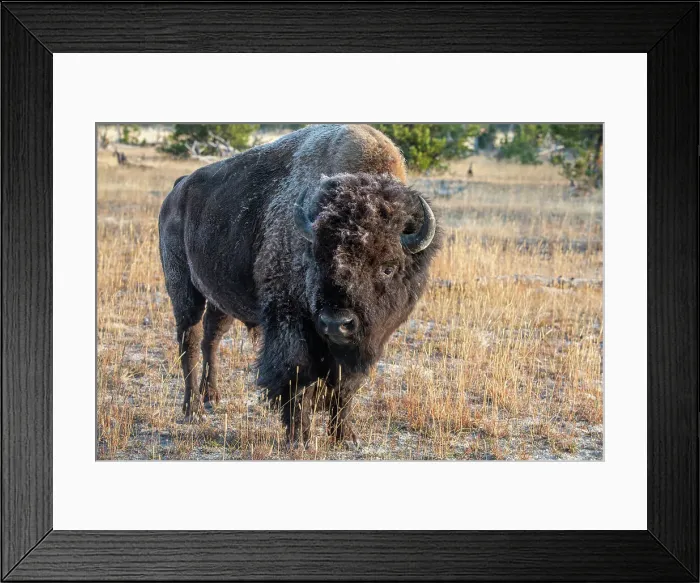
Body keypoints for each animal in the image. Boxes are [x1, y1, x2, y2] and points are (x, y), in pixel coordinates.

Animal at [158, 124, 439, 445]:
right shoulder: (291, 323)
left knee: (211, 339)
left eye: (388, 267)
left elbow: (345, 385)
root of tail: (177, 189)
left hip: (220, 300)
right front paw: (299, 436)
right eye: (317, 258)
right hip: (183, 290)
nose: (336, 323)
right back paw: (193, 410)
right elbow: (297, 376)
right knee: (189, 342)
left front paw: (345, 436)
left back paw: (212, 397)